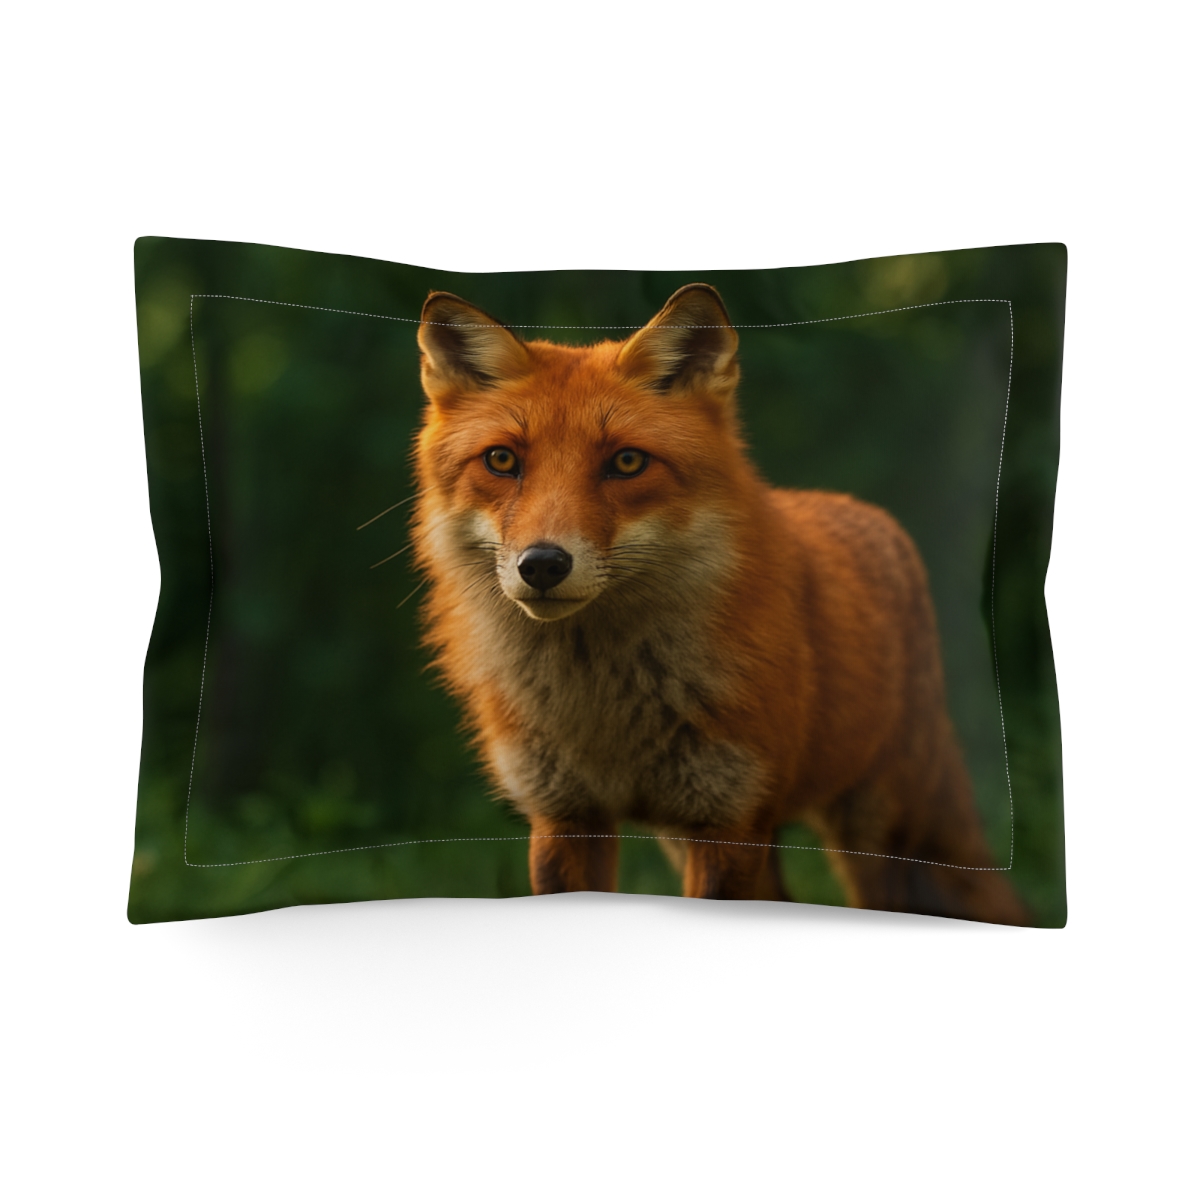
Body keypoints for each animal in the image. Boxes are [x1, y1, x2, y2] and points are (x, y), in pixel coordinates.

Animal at [411, 283, 1028, 924]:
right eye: (502, 460)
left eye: (627, 462)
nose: (542, 565)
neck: (604, 712)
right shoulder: (565, 815)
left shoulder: (726, 819)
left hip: (872, 832)